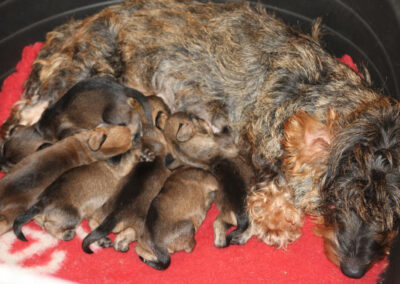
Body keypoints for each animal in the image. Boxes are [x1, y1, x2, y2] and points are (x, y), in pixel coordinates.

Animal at [0, 75, 153, 172]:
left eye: (13, 165)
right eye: (3, 149)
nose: (1, 166)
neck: (41, 130)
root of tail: (122, 88)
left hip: (111, 115)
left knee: (134, 117)